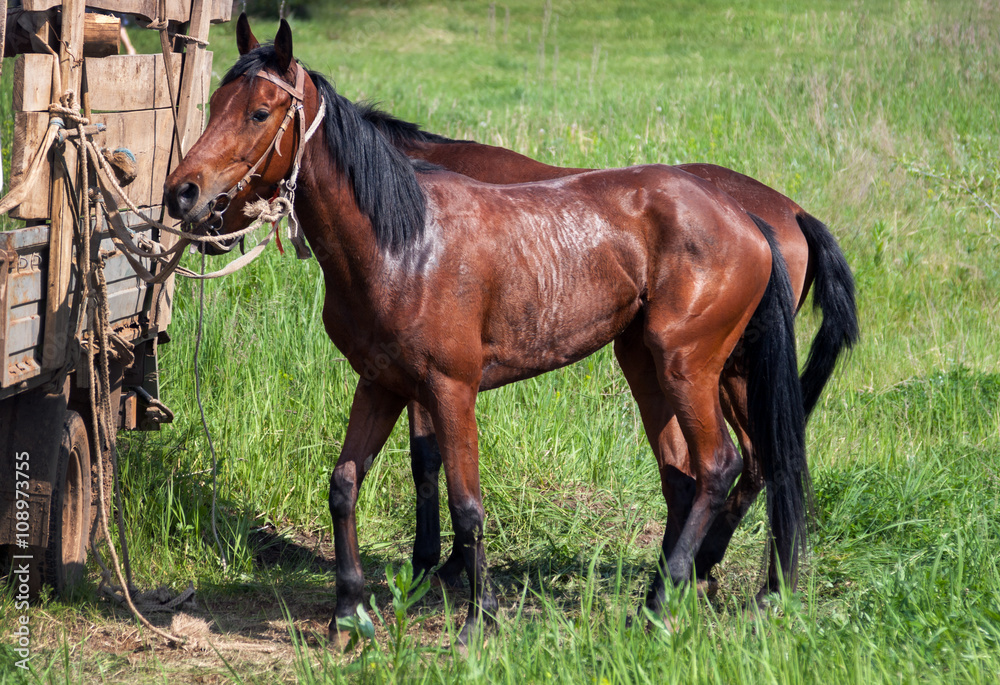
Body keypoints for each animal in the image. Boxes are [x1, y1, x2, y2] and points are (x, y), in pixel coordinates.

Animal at [165, 19, 810, 645]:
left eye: (260, 111)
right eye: (215, 102)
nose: (182, 192)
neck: (404, 243)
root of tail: (748, 217)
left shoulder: (451, 390)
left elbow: (466, 502)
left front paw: (479, 618)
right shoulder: (381, 384)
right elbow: (344, 484)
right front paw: (348, 612)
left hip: (690, 367)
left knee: (720, 467)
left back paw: (668, 605)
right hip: (645, 365)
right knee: (683, 478)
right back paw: (669, 595)